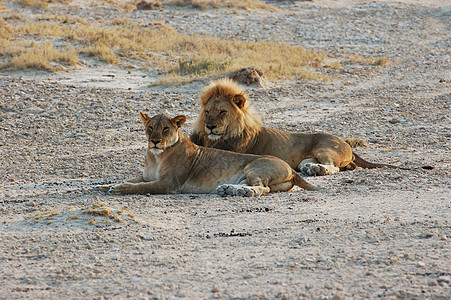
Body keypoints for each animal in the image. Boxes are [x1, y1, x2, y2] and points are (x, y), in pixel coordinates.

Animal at [100, 111, 318, 196]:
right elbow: (133, 179)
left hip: (254, 167)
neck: (156, 156)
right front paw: (106, 185)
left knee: (262, 188)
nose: (154, 141)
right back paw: (229, 189)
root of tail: (291, 169)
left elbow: (141, 187)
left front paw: (120, 188)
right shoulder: (145, 175)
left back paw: (243, 192)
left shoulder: (170, 184)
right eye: (150, 128)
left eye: (165, 129)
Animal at [189, 78, 400, 176]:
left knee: (334, 167)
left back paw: (318, 170)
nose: (210, 126)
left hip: (326, 148)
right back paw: (311, 168)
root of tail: (346, 143)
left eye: (223, 112)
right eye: (207, 111)